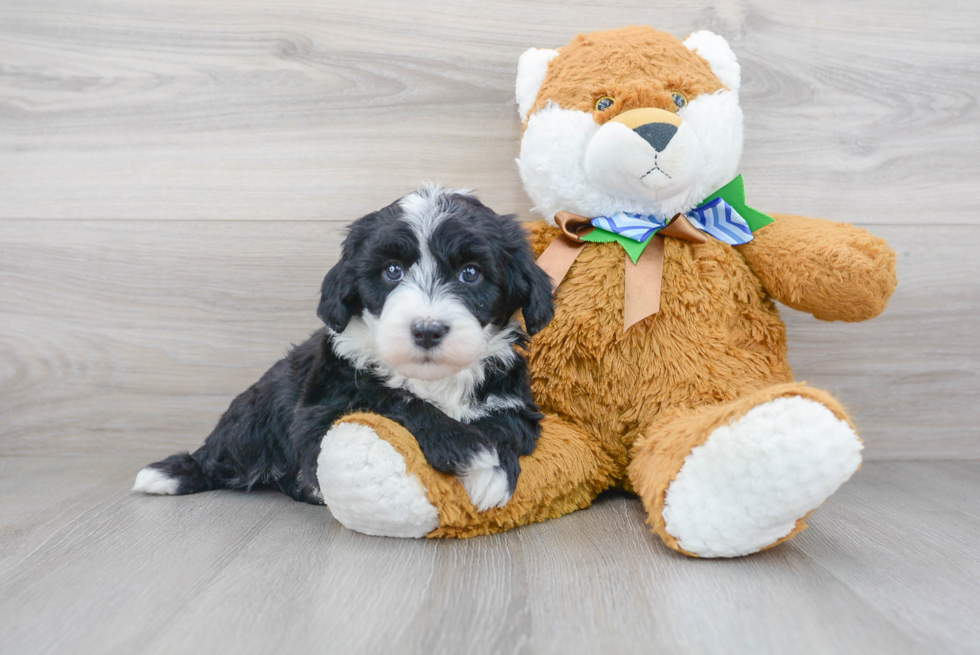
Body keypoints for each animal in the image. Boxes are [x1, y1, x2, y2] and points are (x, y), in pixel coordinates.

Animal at [134, 186, 556, 512]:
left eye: (471, 273)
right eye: (392, 271)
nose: (426, 331)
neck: (432, 380)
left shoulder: (513, 402)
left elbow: (507, 425)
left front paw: (493, 471)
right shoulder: (323, 406)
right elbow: (393, 401)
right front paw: (468, 449)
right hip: (258, 410)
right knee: (225, 450)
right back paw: (173, 474)